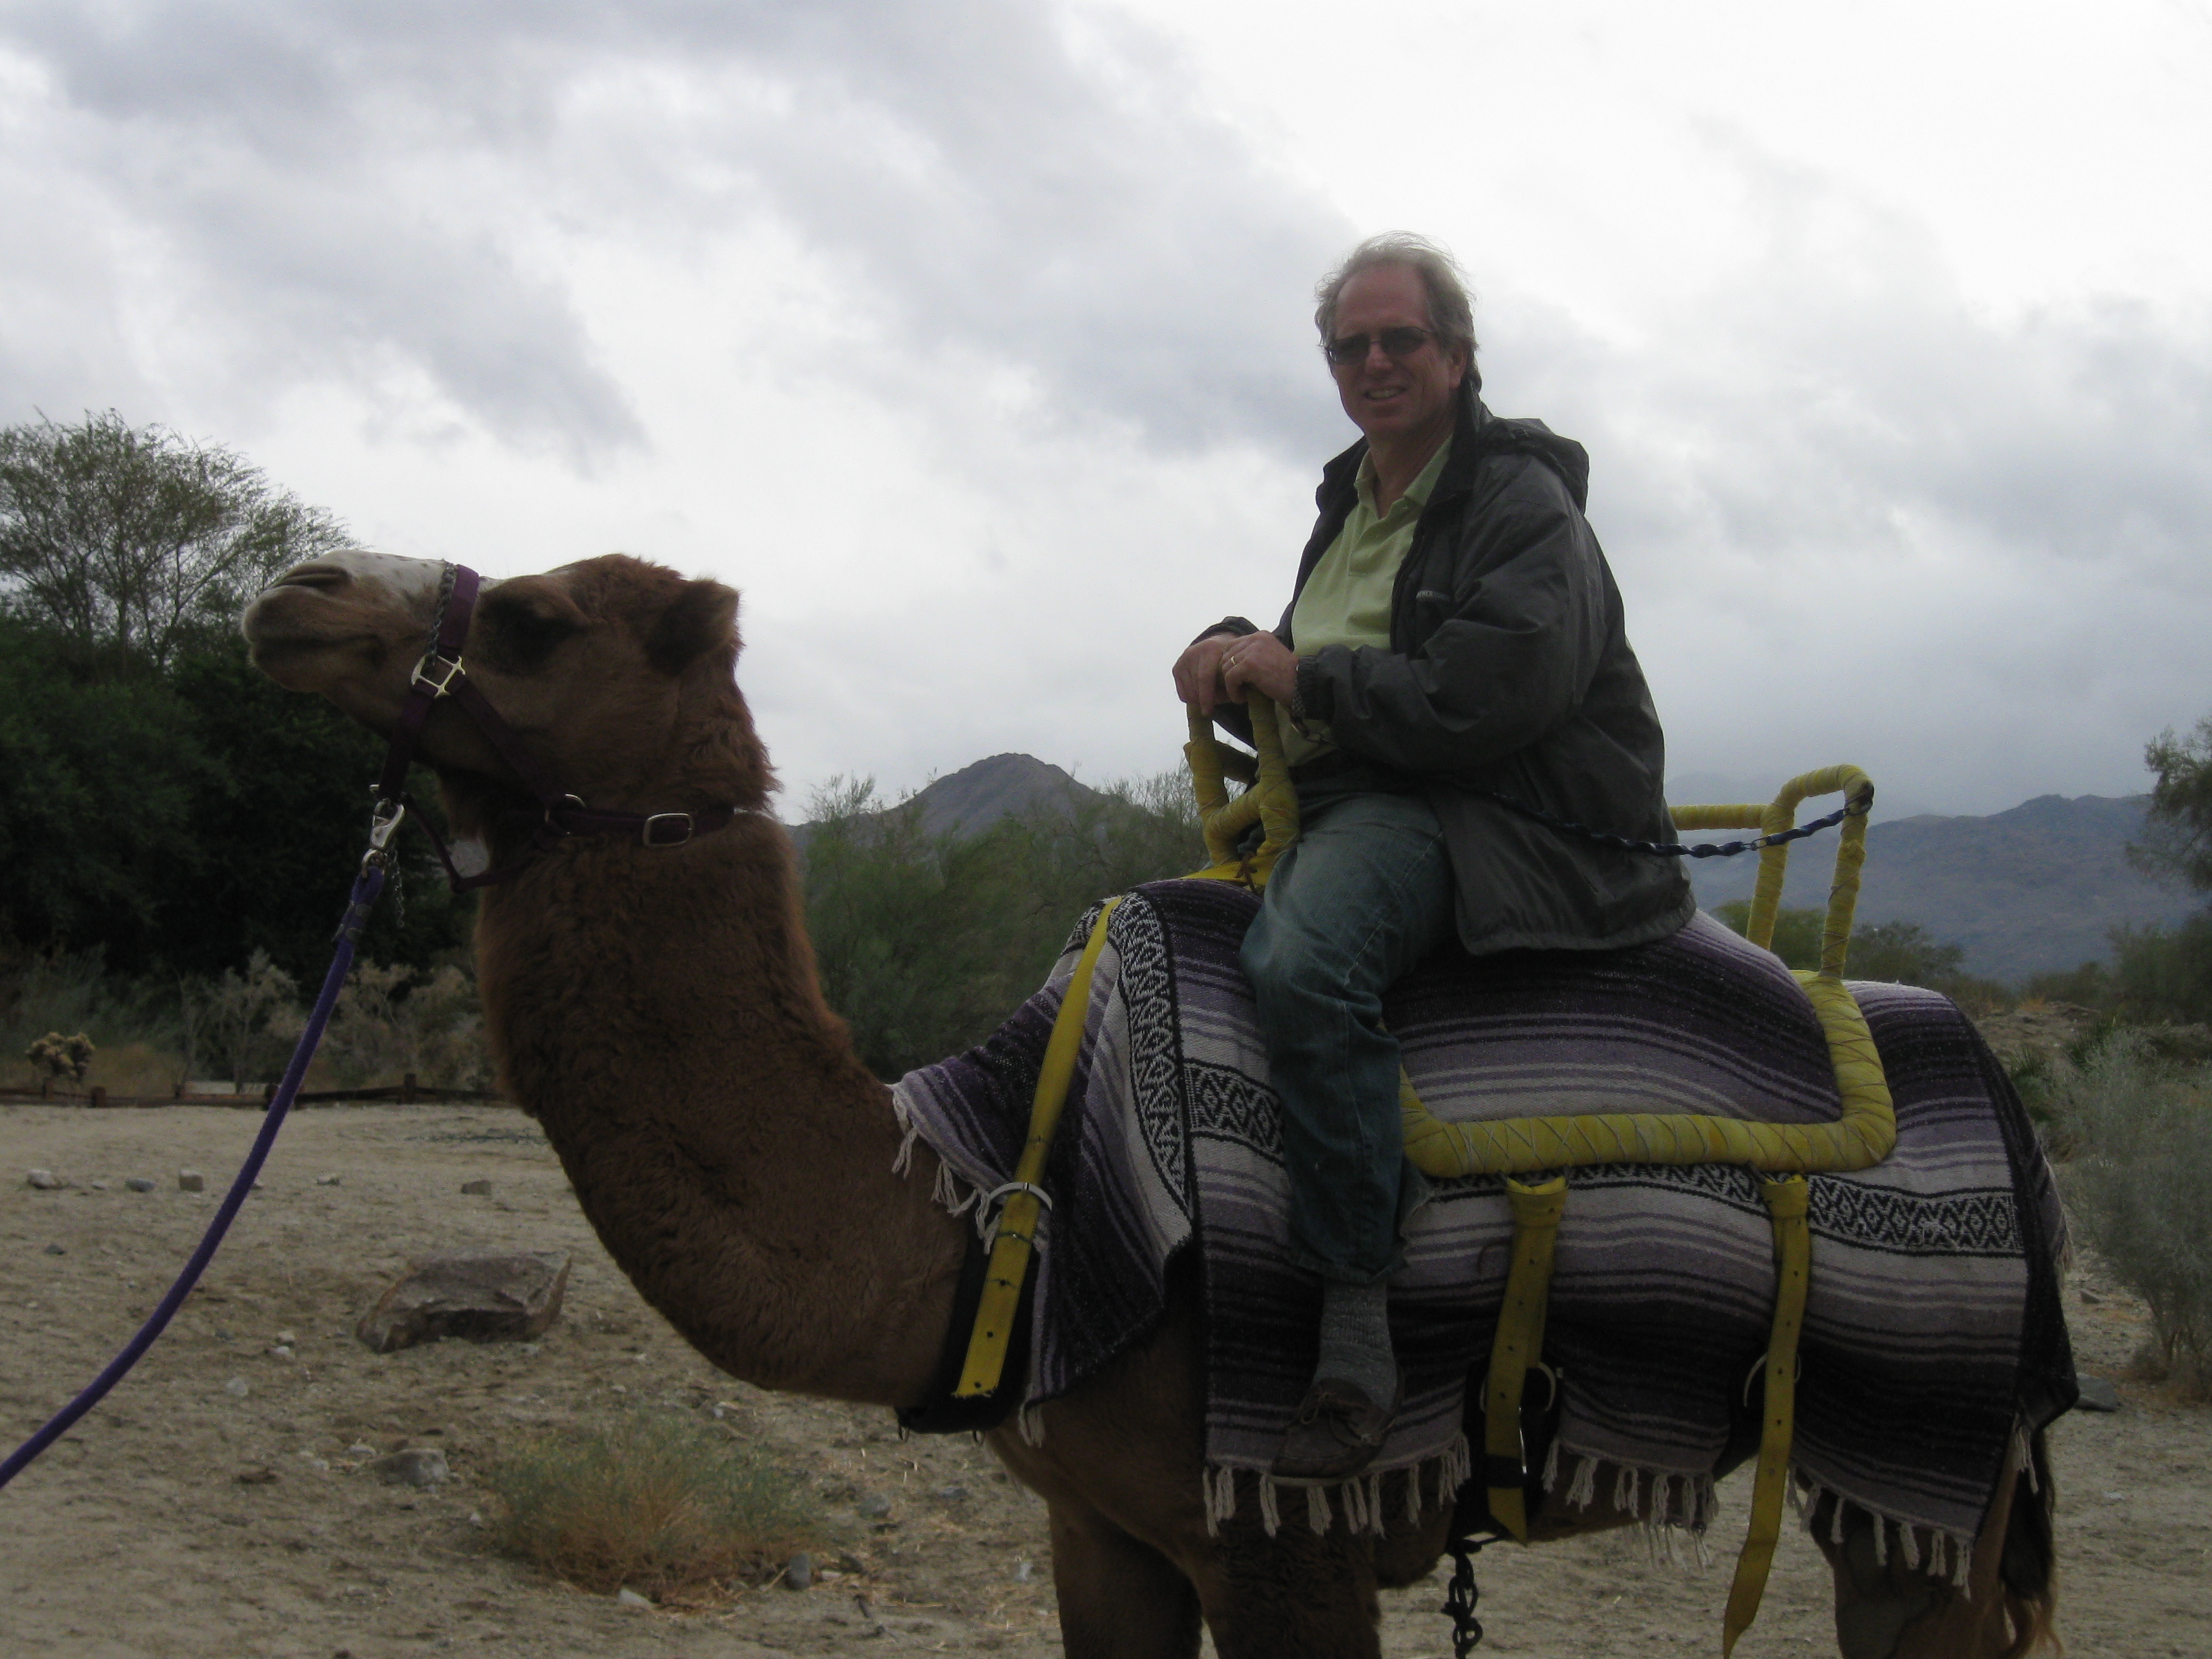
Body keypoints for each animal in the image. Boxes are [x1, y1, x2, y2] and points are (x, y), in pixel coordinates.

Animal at [251, 553, 2062, 1654]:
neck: (998, 1199)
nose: (293, 594)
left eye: (536, 616)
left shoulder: (1283, 1535)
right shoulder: (1103, 1531)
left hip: (1930, 1469)